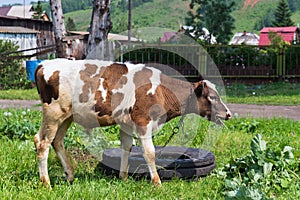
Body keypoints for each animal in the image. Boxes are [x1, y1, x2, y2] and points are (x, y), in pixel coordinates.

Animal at [33, 58, 232, 187]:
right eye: (213, 97)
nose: (229, 113)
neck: (161, 90)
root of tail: (44, 64)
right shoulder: (143, 121)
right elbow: (149, 153)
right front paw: (157, 182)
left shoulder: (127, 124)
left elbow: (126, 148)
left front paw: (124, 177)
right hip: (53, 113)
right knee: (42, 143)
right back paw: (46, 182)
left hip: (66, 117)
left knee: (56, 141)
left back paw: (70, 175)